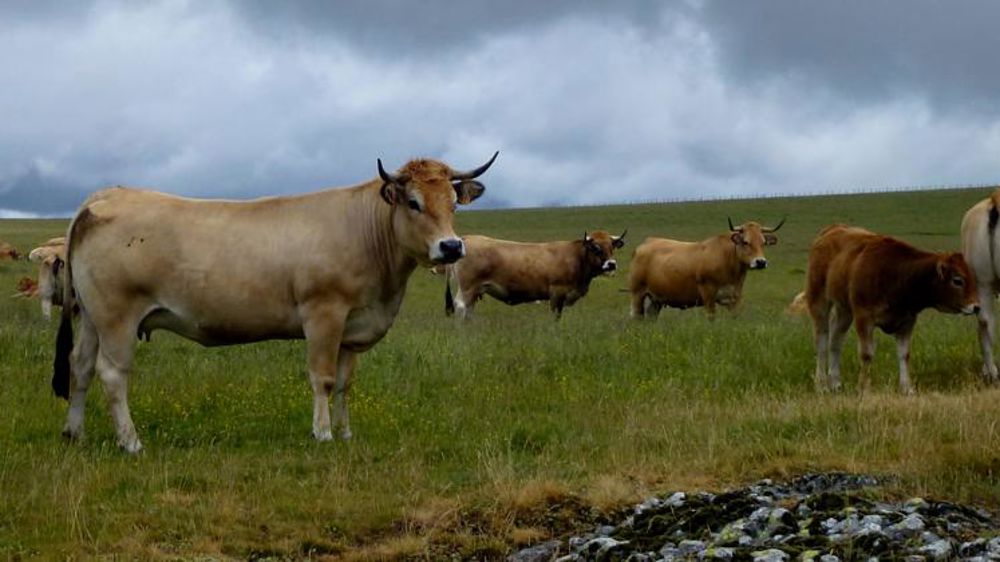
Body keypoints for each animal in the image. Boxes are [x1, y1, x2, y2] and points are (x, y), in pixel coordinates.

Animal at [52, 152, 498, 453]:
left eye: (452, 203)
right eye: (413, 202)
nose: (452, 246)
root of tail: (104, 197)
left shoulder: (353, 325)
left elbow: (346, 383)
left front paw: (346, 432)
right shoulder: (323, 314)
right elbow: (323, 378)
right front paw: (323, 433)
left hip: (91, 317)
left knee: (81, 366)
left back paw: (74, 433)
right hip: (117, 317)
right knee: (112, 374)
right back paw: (131, 442)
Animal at [443, 230, 626, 319]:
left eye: (612, 246)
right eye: (595, 247)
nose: (611, 264)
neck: (575, 257)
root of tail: (466, 239)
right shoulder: (557, 293)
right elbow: (555, 316)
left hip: (475, 290)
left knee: (468, 310)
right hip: (467, 287)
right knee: (461, 307)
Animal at [629, 219, 783, 319]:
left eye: (763, 242)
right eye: (745, 242)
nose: (761, 262)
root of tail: (646, 243)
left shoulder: (735, 297)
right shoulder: (708, 296)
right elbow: (711, 318)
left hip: (656, 300)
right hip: (637, 293)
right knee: (637, 316)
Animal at [806, 224, 979, 394]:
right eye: (957, 280)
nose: (976, 307)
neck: (896, 273)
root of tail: (831, 229)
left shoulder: (907, 321)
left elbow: (904, 354)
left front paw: (907, 388)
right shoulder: (864, 318)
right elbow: (866, 354)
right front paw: (863, 388)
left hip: (845, 310)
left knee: (836, 341)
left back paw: (835, 383)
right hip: (819, 302)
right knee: (822, 342)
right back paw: (821, 385)